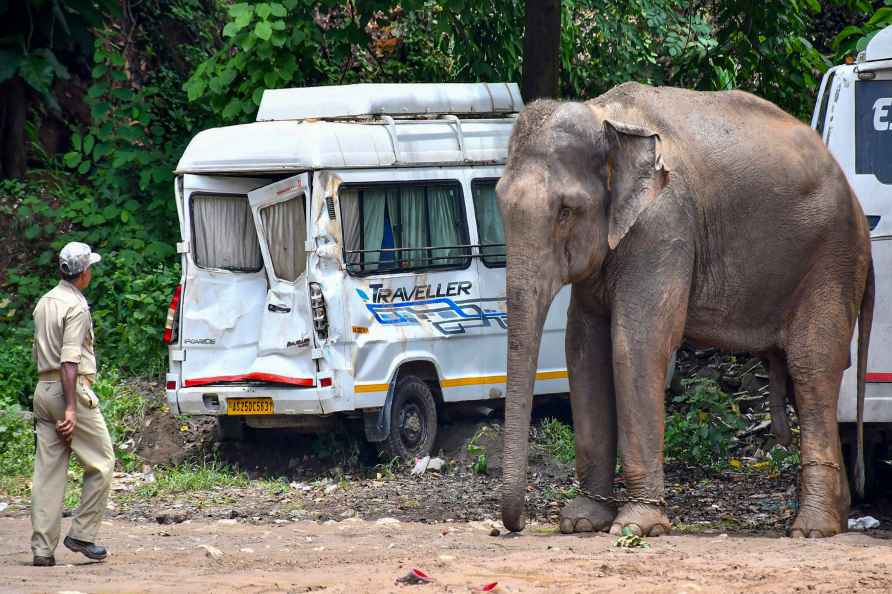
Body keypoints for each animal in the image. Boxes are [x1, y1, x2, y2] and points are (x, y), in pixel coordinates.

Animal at [498, 81, 876, 540]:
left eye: (566, 211)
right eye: (499, 205)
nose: (514, 527)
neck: (605, 117)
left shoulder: (664, 226)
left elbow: (634, 347)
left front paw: (636, 527)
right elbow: (584, 349)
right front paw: (582, 520)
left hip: (832, 258)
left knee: (812, 366)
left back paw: (811, 530)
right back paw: (834, 519)